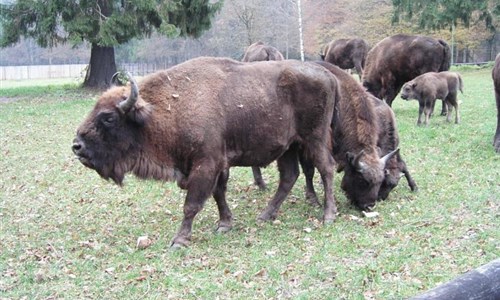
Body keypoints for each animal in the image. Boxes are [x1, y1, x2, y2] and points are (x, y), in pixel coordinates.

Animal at [71, 57, 340, 247]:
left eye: (108, 117)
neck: (164, 110)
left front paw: (179, 241)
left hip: (314, 139)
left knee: (326, 168)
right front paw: (224, 225)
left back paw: (328, 216)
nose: (77, 146)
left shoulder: (206, 164)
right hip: (288, 147)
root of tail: (328, 75)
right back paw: (265, 215)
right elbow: (218, 194)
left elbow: (192, 204)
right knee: (289, 176)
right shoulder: (218, 166)